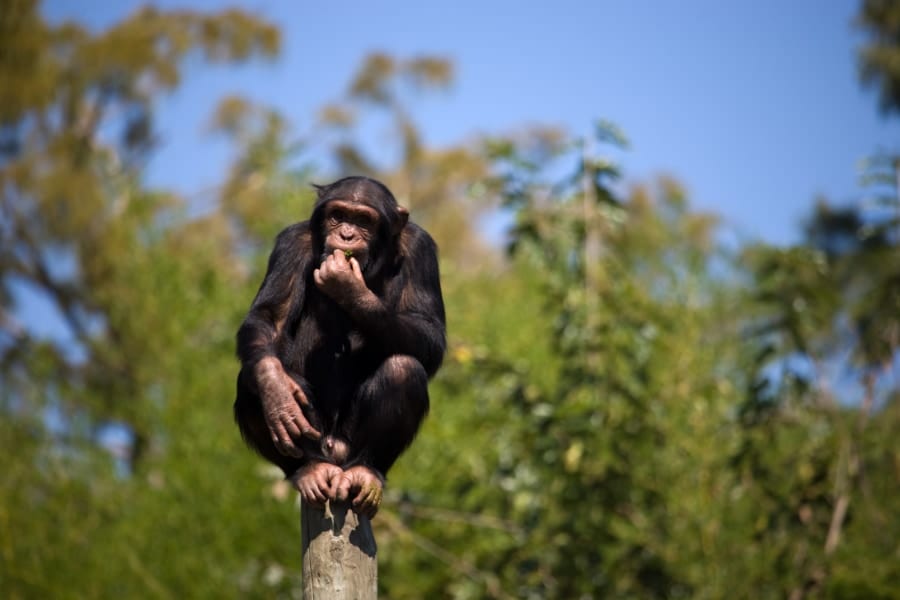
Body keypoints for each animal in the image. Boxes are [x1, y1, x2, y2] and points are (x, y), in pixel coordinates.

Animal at [232, 176, 442, 516]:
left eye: (363, 220)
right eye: (338, 215)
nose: (346, 234)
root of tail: (336, 454)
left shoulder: (421, 249)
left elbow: (429, 331)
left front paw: (350, 289)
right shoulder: (292, 243)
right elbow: (270, 316)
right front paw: (275, 389)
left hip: (349, 445)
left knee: (404, 368)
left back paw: (366, 470)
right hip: (320, 440)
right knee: (250, 380)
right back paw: (309, 468)